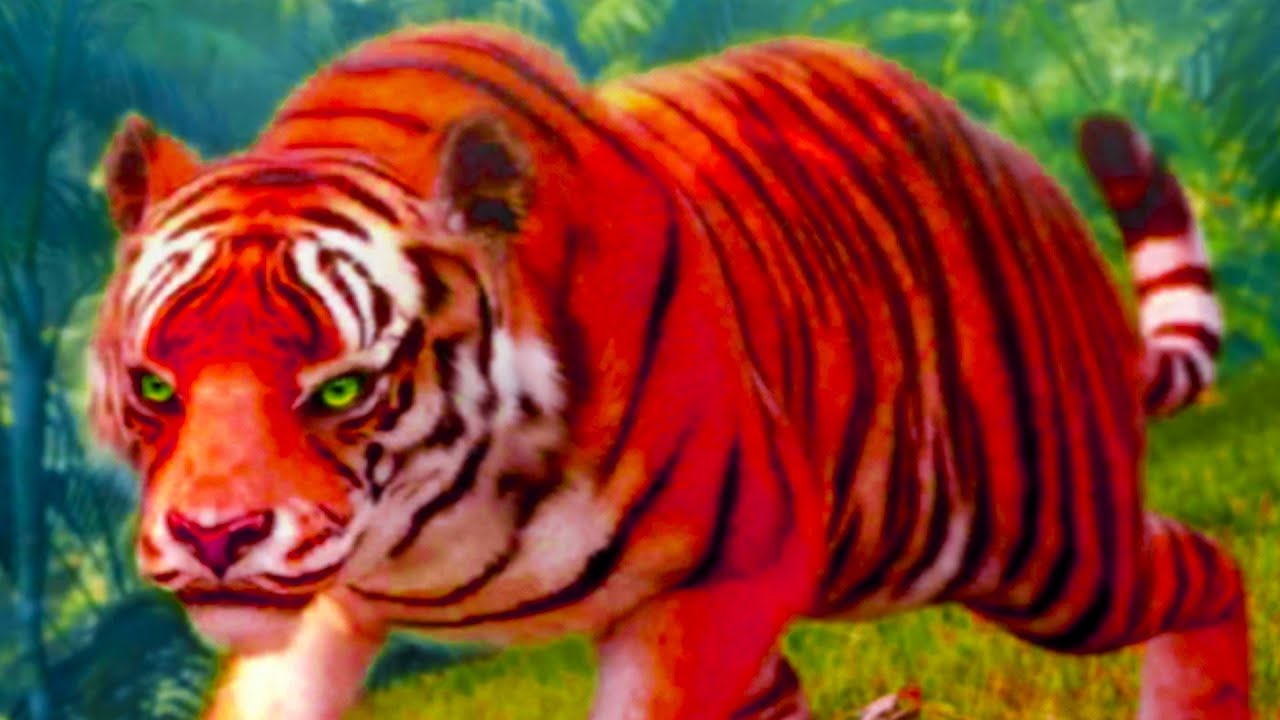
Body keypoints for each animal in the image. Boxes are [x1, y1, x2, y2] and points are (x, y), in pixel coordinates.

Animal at [88, 22, 1250, 720]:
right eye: (156, 387)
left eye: (338, 390)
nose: (214, 537)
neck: (426, 530)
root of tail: (1009, 152)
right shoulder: (317, 618)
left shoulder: (726, 577)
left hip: (1042, 544)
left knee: (1209, 570)